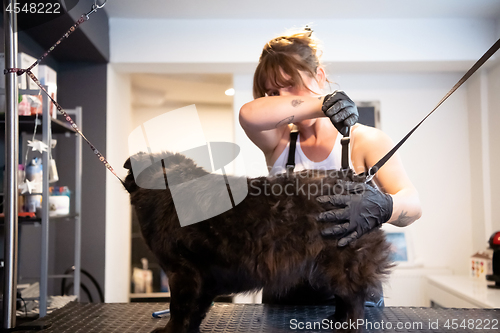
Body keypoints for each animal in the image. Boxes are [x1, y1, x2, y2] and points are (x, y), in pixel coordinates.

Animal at [123, 152, 392, 330]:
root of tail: (359, 179)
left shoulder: (183, 273)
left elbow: (179, 310)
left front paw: (170, 330)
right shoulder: (203, 280)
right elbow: (196, 311)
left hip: (342, 260)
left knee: (353, 298)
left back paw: (349, 323)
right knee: (343, 297)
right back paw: (335, 320)